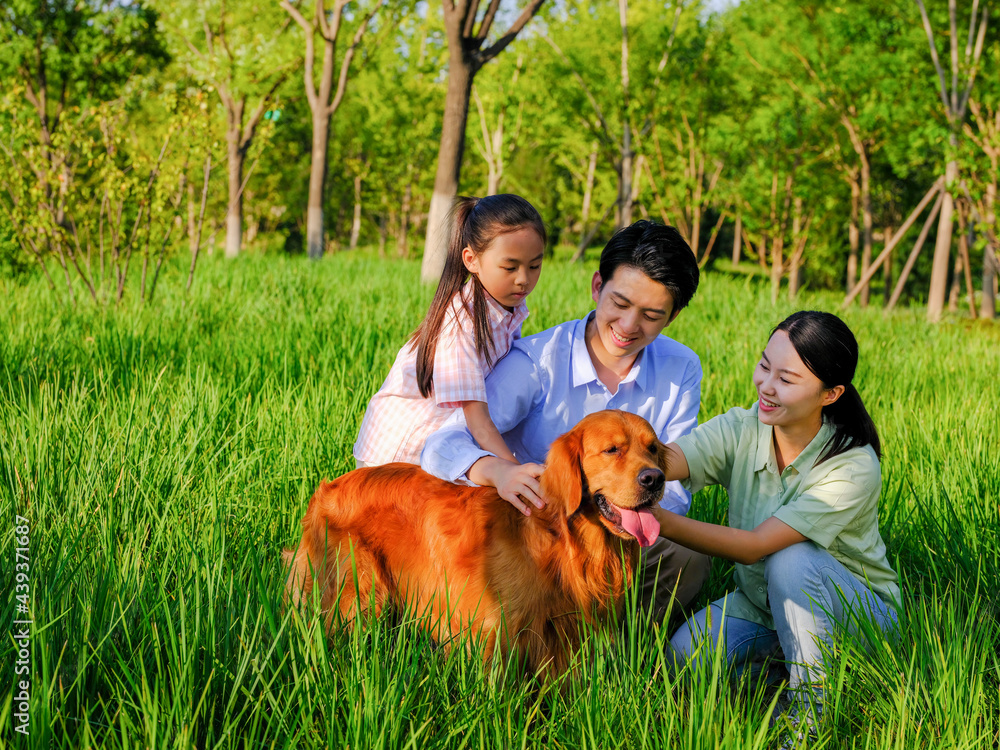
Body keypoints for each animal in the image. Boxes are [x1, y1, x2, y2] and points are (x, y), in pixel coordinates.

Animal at [286, 412, 668, 680]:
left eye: (652, 448)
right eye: (612, 450)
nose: (654, 479)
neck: (559, 536)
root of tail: (326, 489)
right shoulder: (496, 632)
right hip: (362, 590)